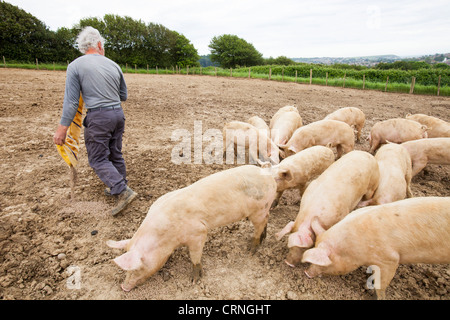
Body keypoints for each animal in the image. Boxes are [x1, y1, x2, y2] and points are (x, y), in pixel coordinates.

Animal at [108, 165, 278, 292]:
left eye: (136, 268)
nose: (123, 287)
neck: (165, 238)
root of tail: (268, 172)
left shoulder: (199, 232)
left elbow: (195, 256)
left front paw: (193, 281)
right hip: (263, 209)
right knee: (267, 219)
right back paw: (262, 239)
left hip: (259, 209)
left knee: (260, 225)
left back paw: (251, 250)